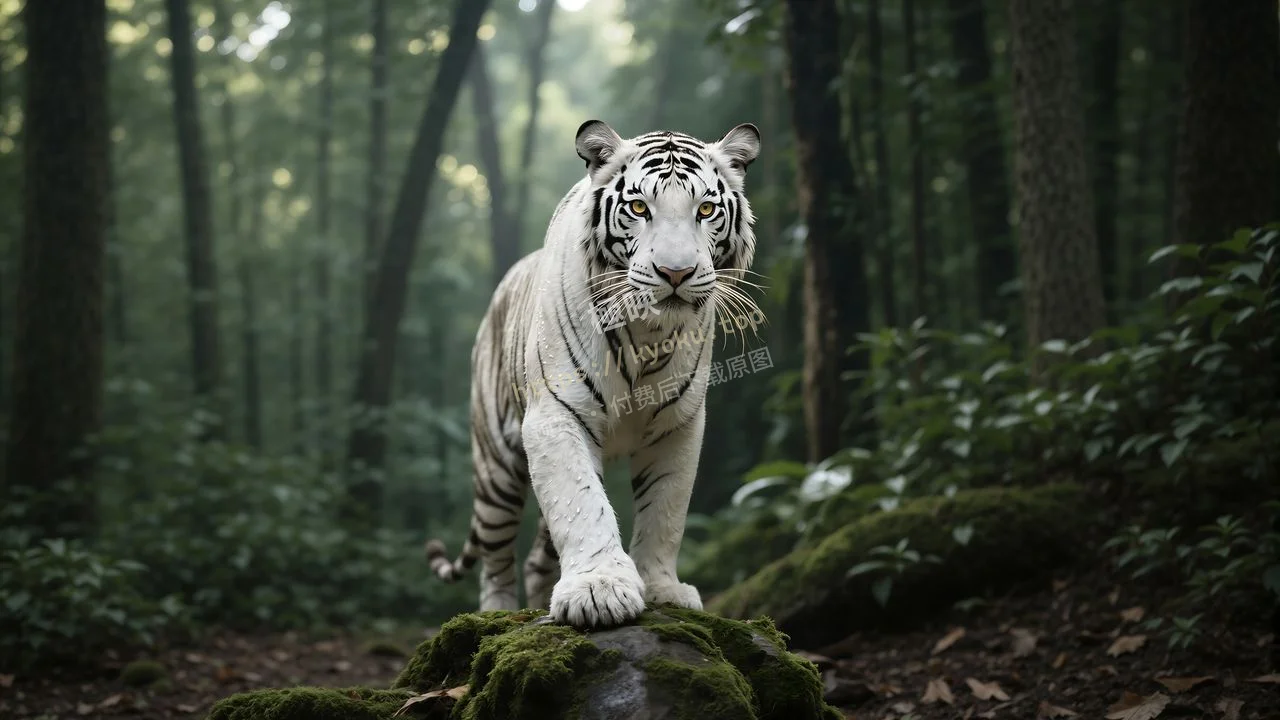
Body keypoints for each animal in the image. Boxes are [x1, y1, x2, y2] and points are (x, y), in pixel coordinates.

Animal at [425, 119, 762, 629]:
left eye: (706, 209)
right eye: (640, 207)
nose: (676, 272)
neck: (647, 333)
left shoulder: (678, 426)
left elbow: (666, 511)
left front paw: (663, 588)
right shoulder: (556, 415)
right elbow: (581, 504)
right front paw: (598, 590)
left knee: (535, 558)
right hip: (496, 469)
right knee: (495, 560)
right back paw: (498, 613)